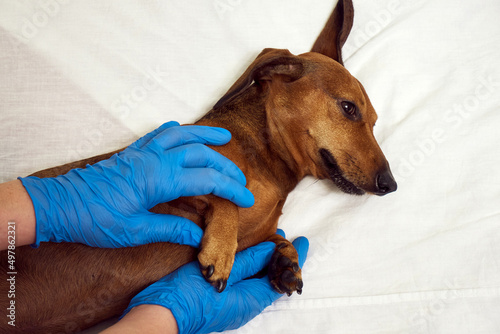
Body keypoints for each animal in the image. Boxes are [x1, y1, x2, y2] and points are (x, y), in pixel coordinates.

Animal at [1, 0, 396, 332]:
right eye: (348, 108)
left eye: (375, 121)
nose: (390, 185)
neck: (270, 165)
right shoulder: (180, 180)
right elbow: (226, 199)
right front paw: (220, 248)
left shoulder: (258, 234)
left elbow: (275, 238)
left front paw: (285, 260)